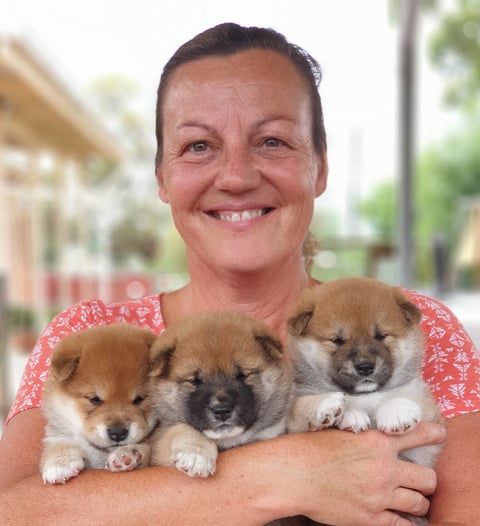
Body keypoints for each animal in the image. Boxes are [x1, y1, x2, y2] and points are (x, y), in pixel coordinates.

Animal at [40, 326, 158, 486]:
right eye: (94, 399)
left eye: (139, 399)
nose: (118, 433)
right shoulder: (58, 434)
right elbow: (59, 443)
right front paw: (60, 463)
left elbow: (147, 446)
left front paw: (128, 453)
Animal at [150, 312, 292, 480]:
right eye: (194, 381)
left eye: (243, 375)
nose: (222, 411)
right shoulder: (158, 441)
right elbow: (180, 429)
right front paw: (197, 453)